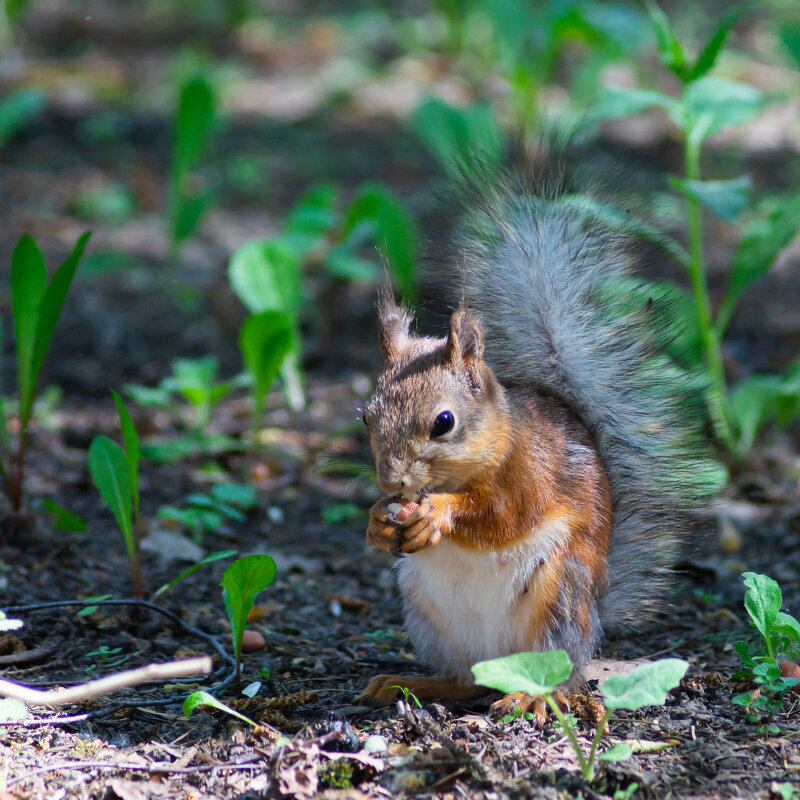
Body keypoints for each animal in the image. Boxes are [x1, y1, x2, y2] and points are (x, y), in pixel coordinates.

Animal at [356, 155, 712, 720]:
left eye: (444, 422)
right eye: (365, 418)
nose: (392, 483)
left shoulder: (532, 472)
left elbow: (503, 516)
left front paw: (438, 514)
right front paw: (377, 521)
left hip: (557, 595)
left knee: (556, 678)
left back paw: (529, 696)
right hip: (428, 616)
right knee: (466, 680)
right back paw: (407, 682)